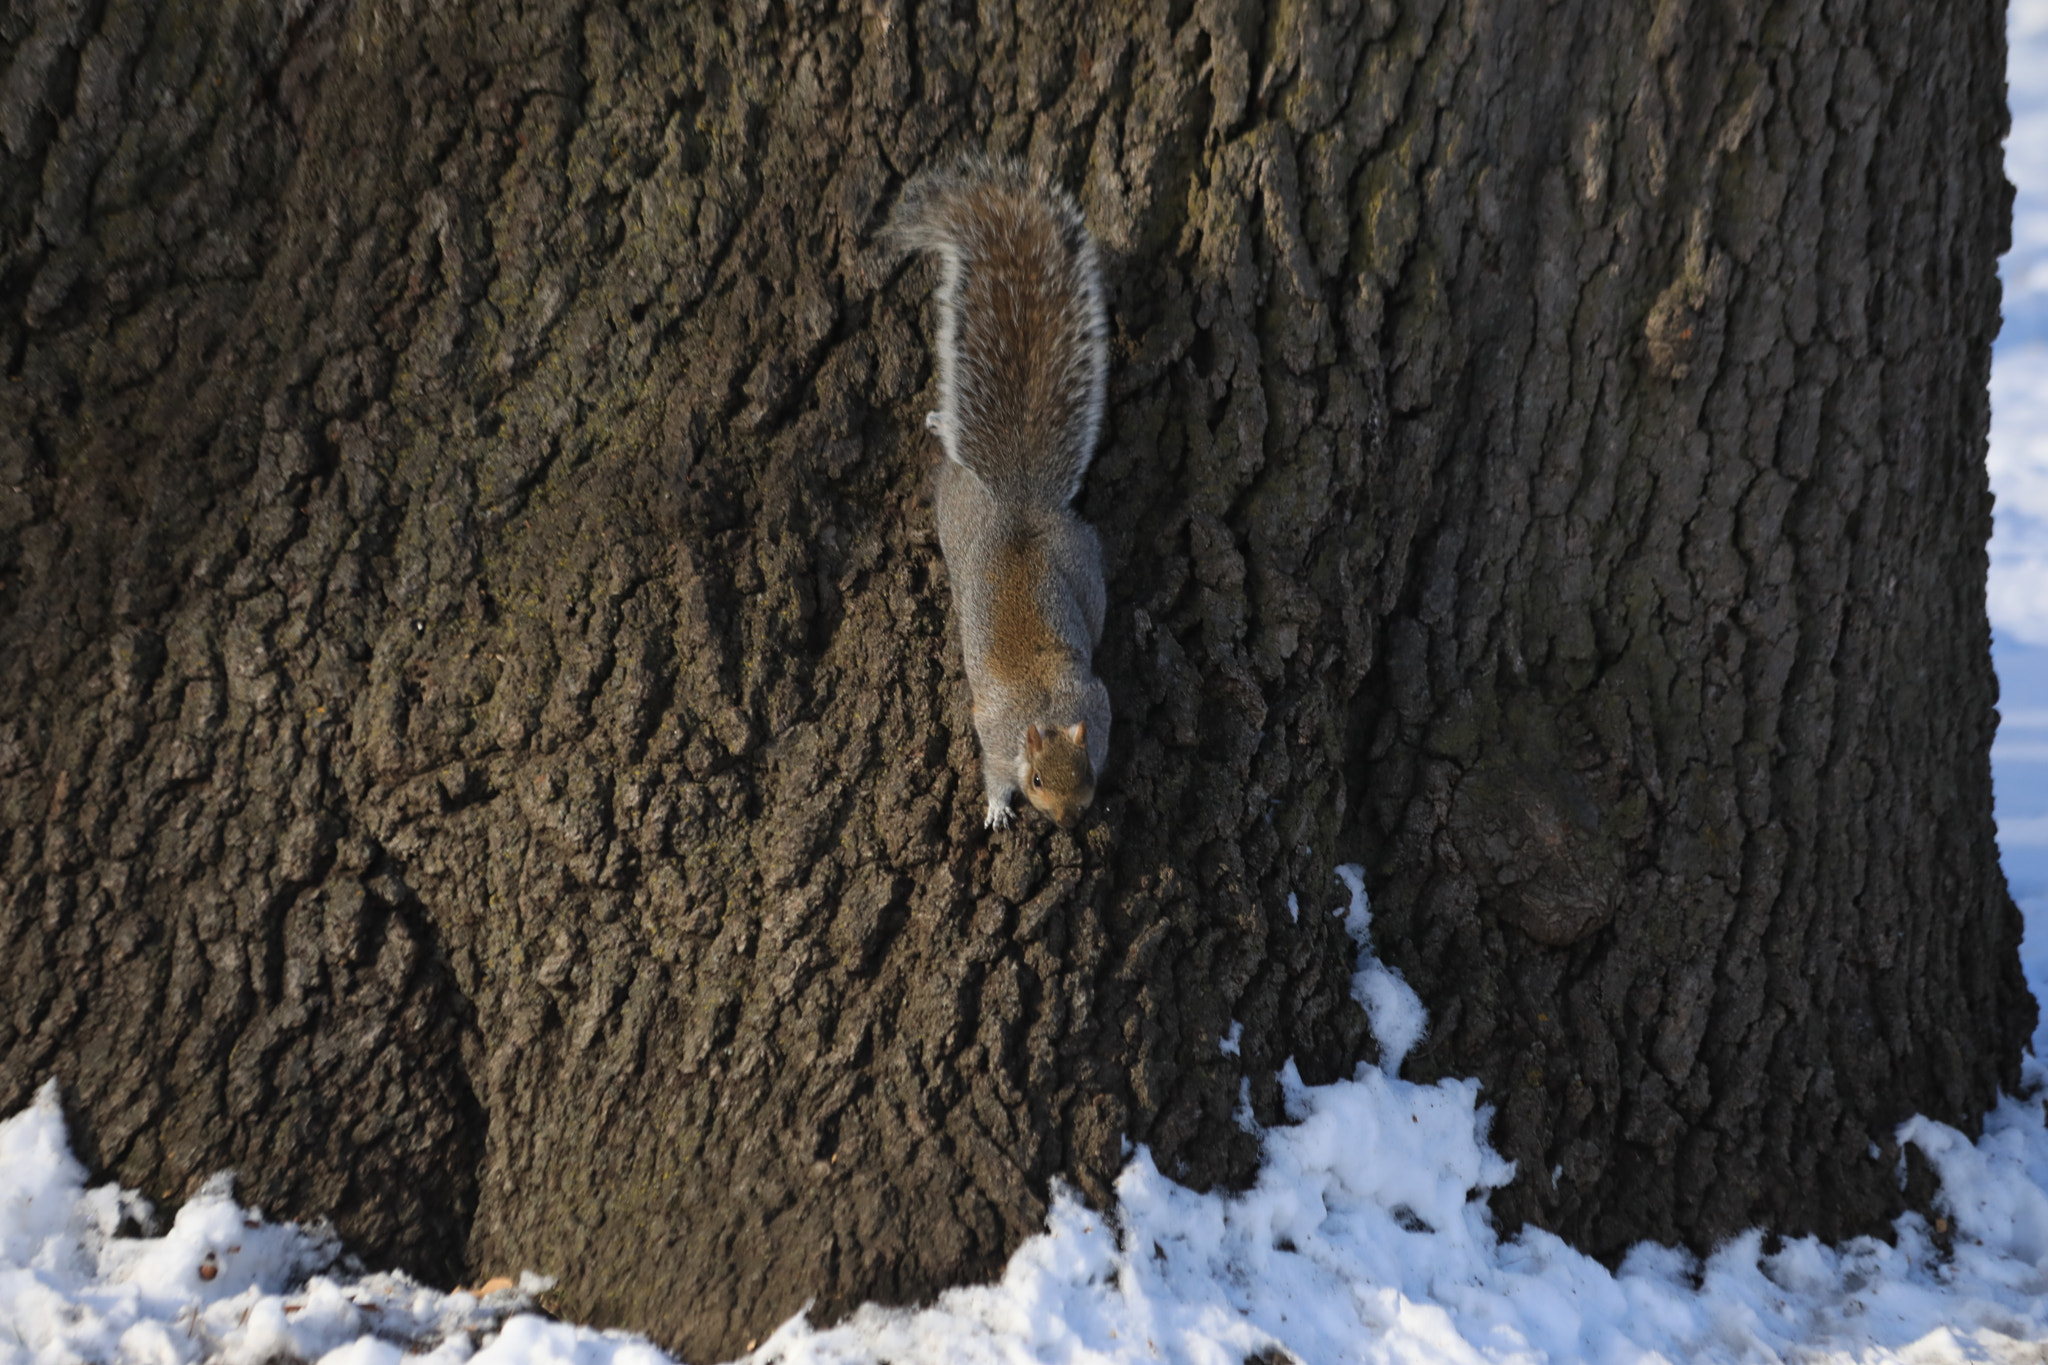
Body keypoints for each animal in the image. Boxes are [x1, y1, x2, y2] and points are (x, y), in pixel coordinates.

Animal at [887, 158, 1112, 831]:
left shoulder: (1098, 704)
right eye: (1036, 779)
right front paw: (994, 808)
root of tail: (1021, 506)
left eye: (1086, 774)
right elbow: (989, 771)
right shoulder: (992, 731)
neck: (1042, 711)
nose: (1068, 821)